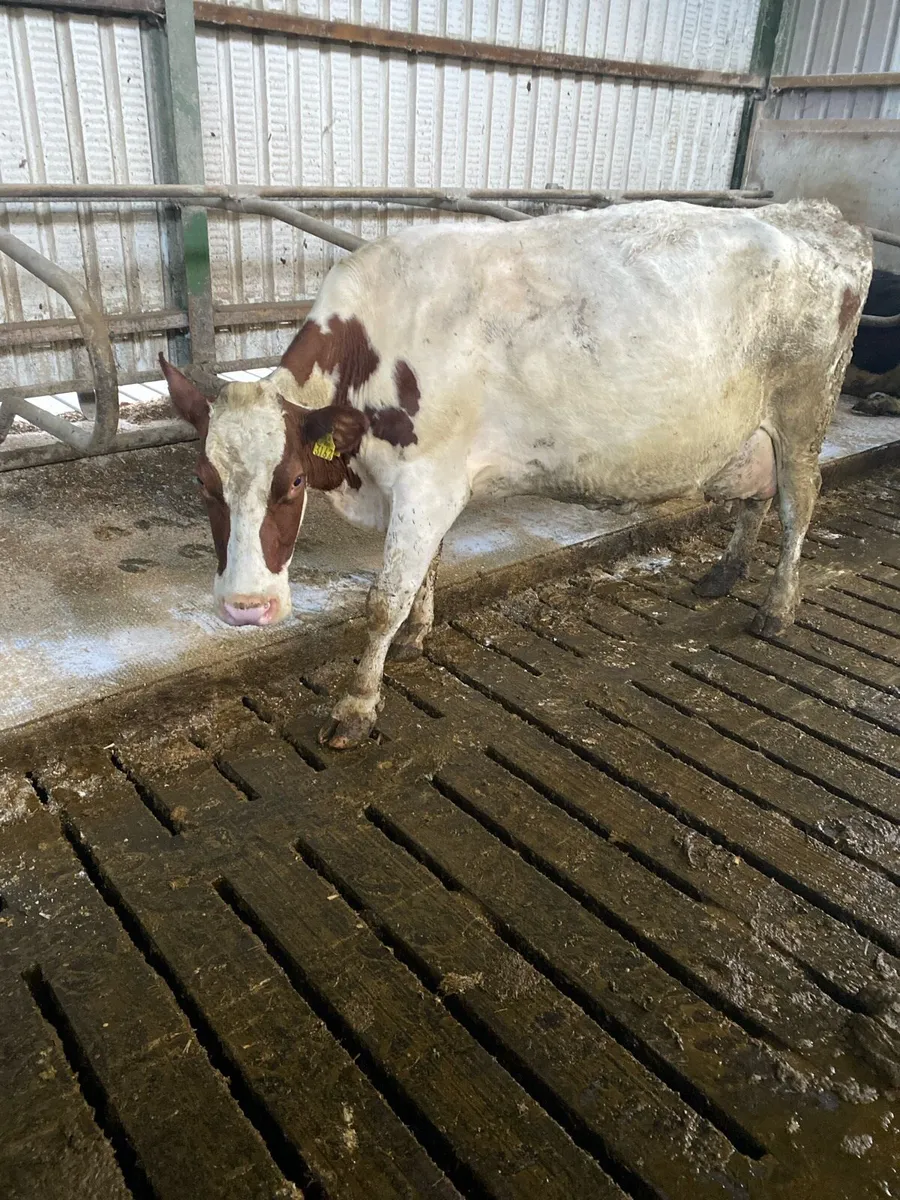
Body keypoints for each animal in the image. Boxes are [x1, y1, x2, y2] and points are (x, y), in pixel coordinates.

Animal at [161, 199, 871, 749]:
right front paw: (418, 633)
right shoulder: (434, 483)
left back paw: (777, 607)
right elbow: (427, 568)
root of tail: (816, 216)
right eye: (203, 483)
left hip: (804, 413)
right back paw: (724, 574)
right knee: (756, 497)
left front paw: (355, 706)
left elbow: (381, 601)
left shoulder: (427, 480)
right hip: (754, 433)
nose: (246, 608)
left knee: (797, 503)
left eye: (294, 482)